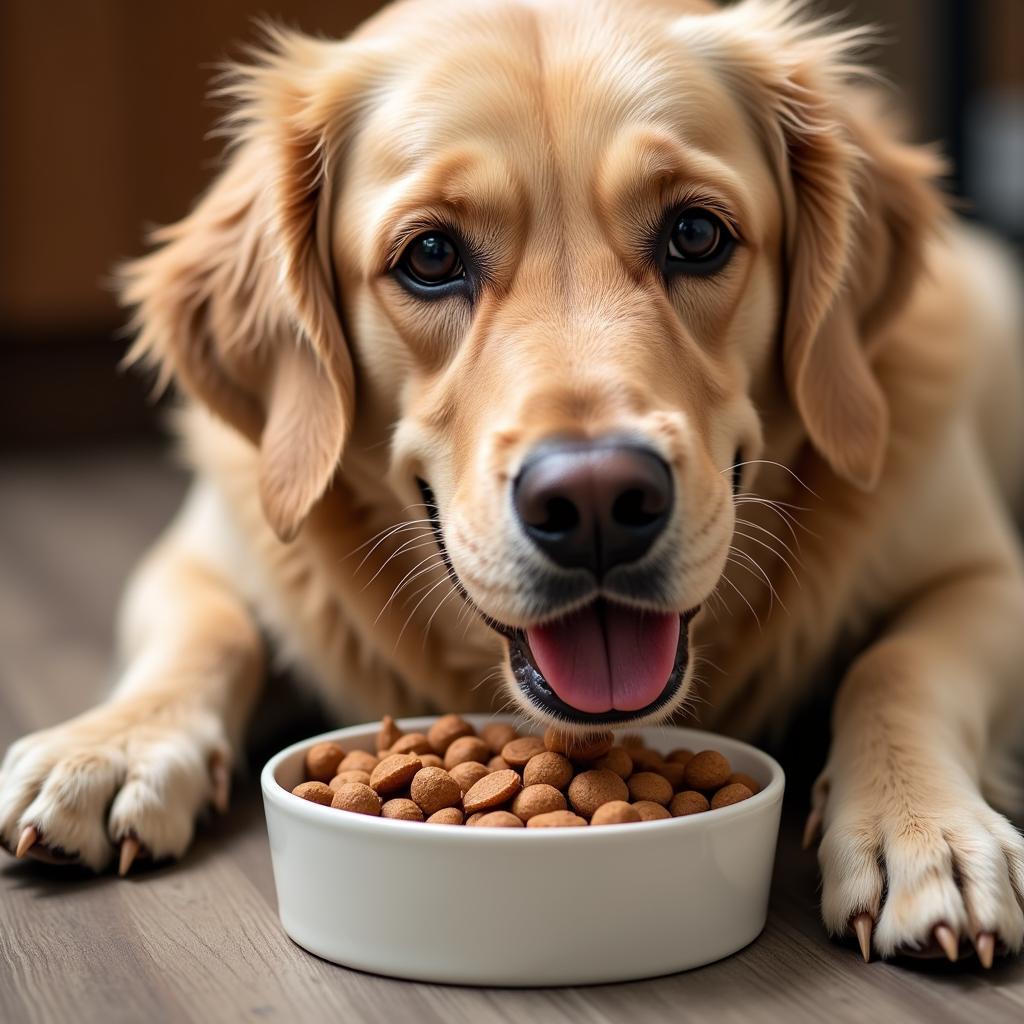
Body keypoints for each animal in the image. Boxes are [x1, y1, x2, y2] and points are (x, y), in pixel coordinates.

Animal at [2, 0, 1024, 962]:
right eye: (430, 256)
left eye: (696, 233)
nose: (600, 503)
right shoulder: (201, 550)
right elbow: (207, 631)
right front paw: (110, 746)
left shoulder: (986, 575)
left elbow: (898, 666)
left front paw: (921, 830)